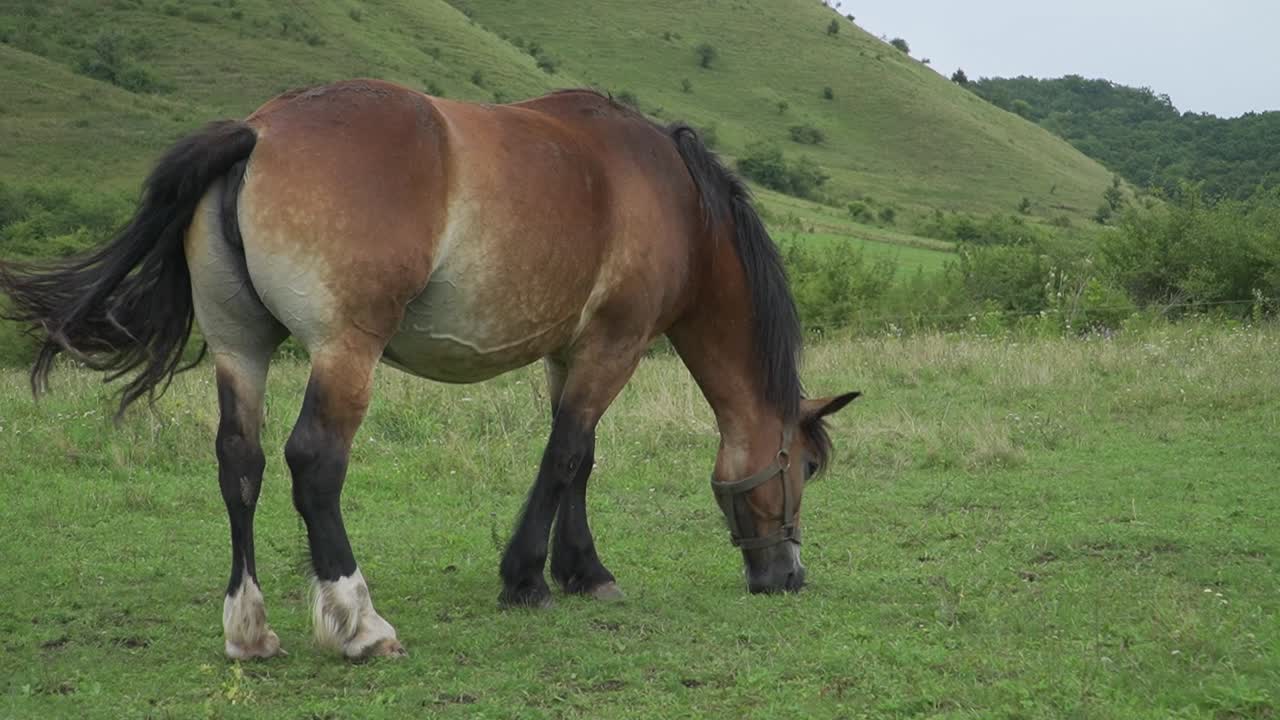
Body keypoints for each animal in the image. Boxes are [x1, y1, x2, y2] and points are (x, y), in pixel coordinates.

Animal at [0, 79, 858, 660]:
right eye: (809, 468)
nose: (789, 576)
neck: (673, 197)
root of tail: (257, 132)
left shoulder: (571, 352)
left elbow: (578, 460)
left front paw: (584, 571)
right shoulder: (613, 346)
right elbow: (566, 456)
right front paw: (527, 579)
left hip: (241, 350)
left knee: (239, 464)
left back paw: (249, 628)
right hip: (345, 352)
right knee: (314, 464)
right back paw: (359, 623)